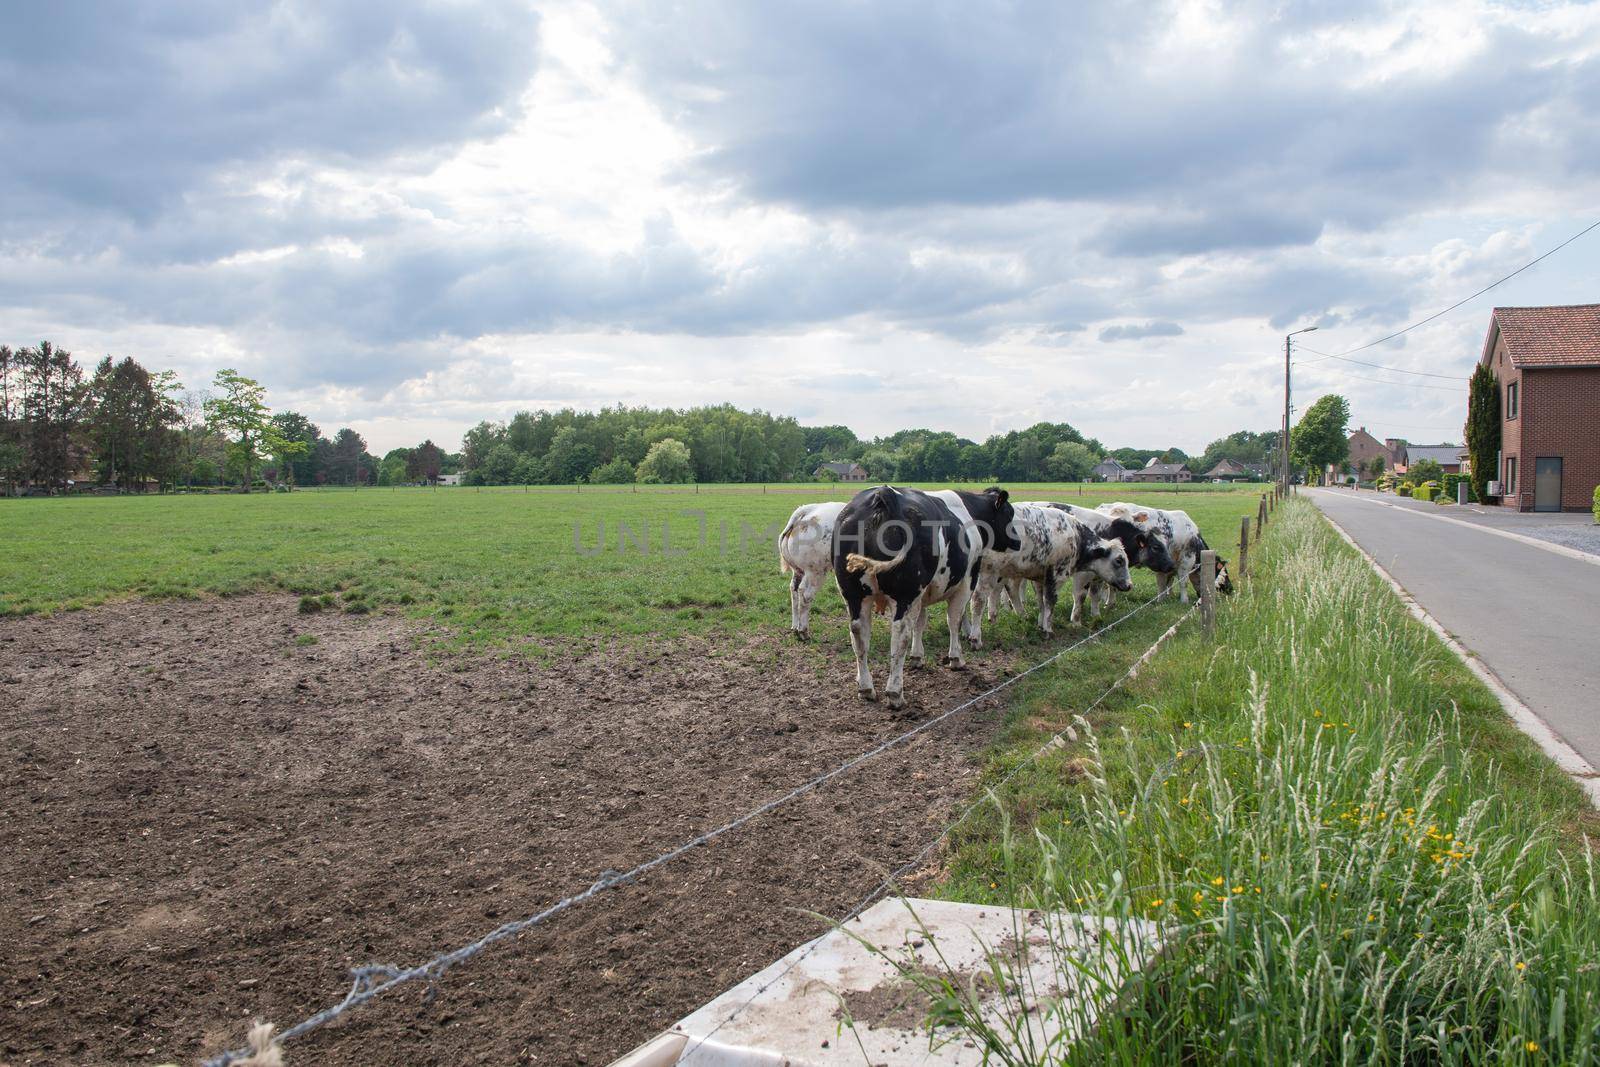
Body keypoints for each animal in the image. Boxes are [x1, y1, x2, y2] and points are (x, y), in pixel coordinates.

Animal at [777, 499, 851, 639]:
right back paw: (803, 631)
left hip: (798, 570)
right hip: (816, 571)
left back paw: (795, 627)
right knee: (805, 594)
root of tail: (807, 510)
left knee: (794, 590)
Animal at [832, 489, 979, 713]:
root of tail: (883, 492)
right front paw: (956, 659)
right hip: (904, 595)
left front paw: (917, 657)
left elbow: (920, 622)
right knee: (900, 633)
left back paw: (865, 688)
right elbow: (954, 620)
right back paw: (895, 693)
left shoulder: (921, 596)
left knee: (858, 633)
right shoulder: (966, 582)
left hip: (854, 596)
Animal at [1094, 502, 1228, 601]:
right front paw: (1181, 600)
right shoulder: (1186, 558)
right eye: (1224, 575)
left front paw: (1167, 596)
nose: (1230, 590)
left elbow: (1167, 581)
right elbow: (1181, 581)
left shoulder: (1166, 562)